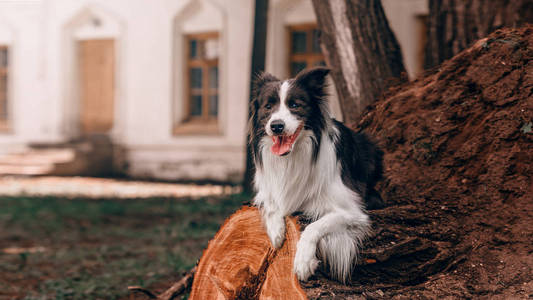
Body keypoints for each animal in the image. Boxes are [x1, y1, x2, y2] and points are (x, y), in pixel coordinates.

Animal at [249, 67, 382, 282]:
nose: (276, 126)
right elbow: (271, 204)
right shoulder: (266, 190)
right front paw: (276, 232)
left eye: (295, 105)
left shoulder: (351, 211)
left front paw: (303, 262)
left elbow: (314, 227)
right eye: (268, 106)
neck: (293, 156)